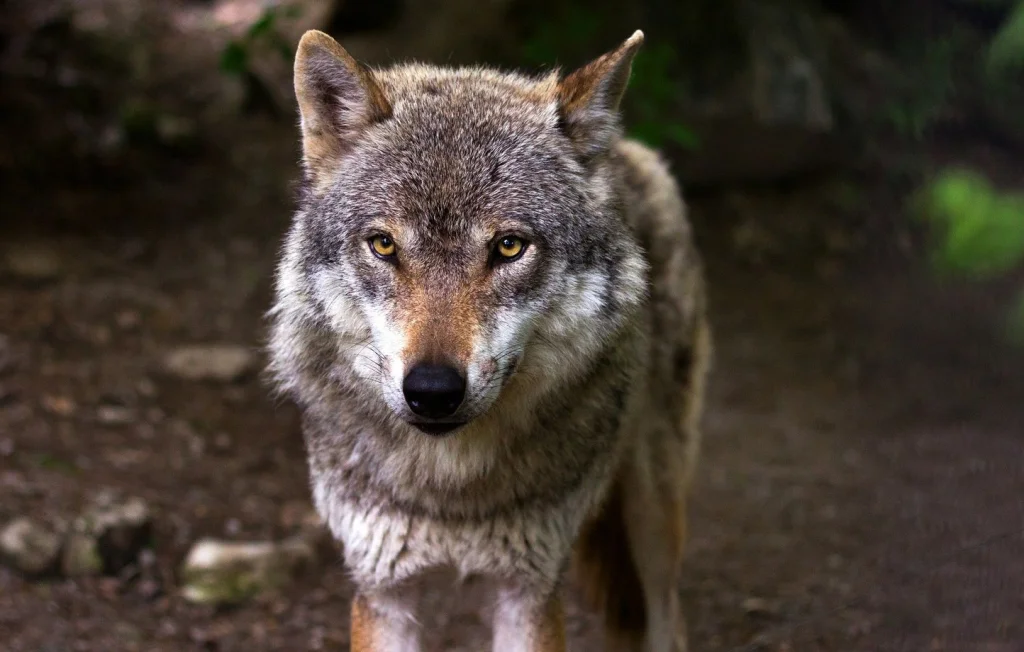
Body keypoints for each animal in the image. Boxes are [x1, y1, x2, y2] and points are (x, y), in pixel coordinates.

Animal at [267, 26, 712, 652]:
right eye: (384, 245)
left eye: (508, 247)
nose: (432, 390)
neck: (451, 491)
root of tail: (626, 149)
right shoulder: (383, 590)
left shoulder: (529, 590)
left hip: (654, 518)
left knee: (668, 616)